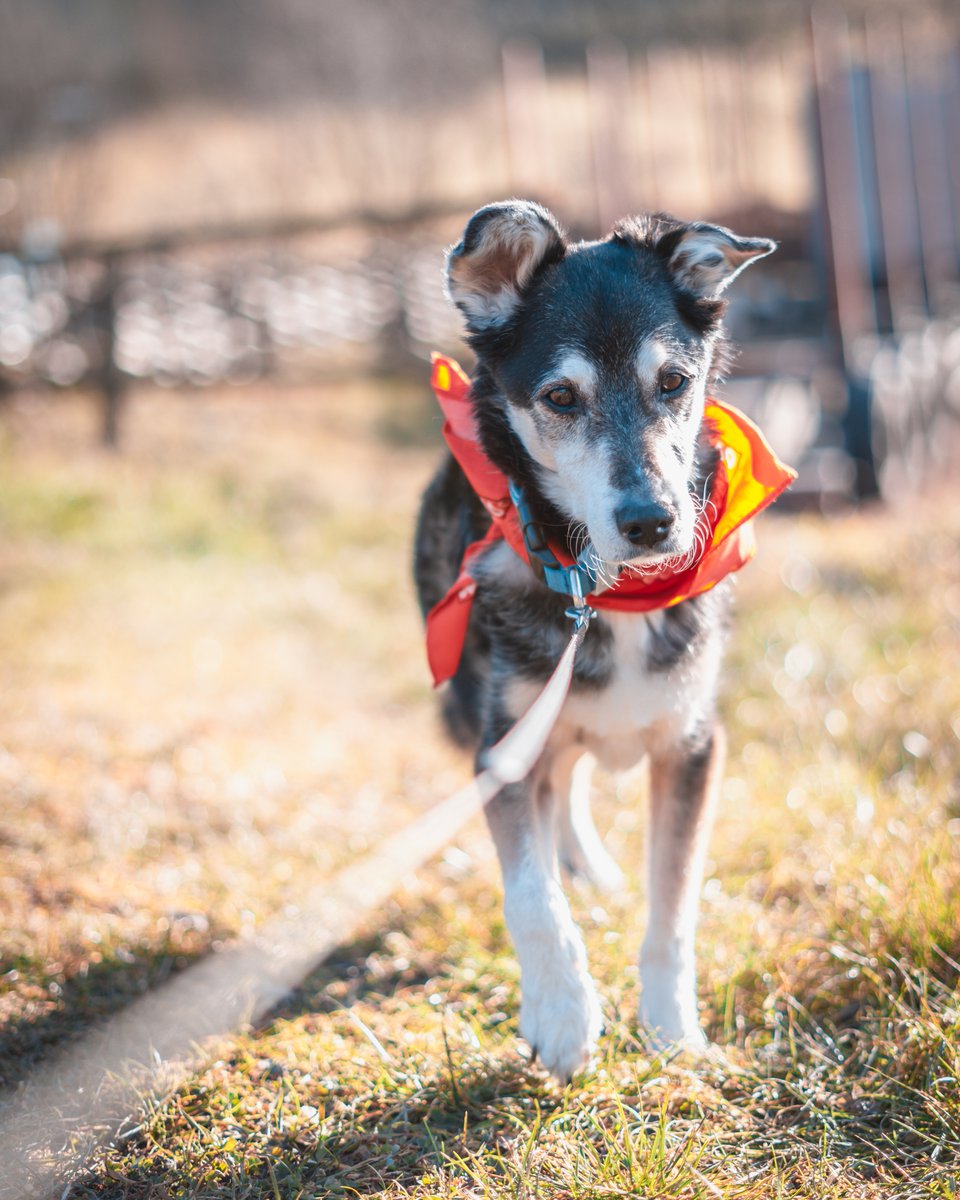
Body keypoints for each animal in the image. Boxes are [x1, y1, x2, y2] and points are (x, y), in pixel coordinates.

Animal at [415, 201, 782, 1084]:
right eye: (559, 396)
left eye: (674, 382)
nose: (651, 521)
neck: (612, 592)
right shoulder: (503, 744)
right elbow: (530, 896)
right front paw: (561, 1016)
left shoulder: (692, 744)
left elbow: (674, 906)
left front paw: (672, 1029)